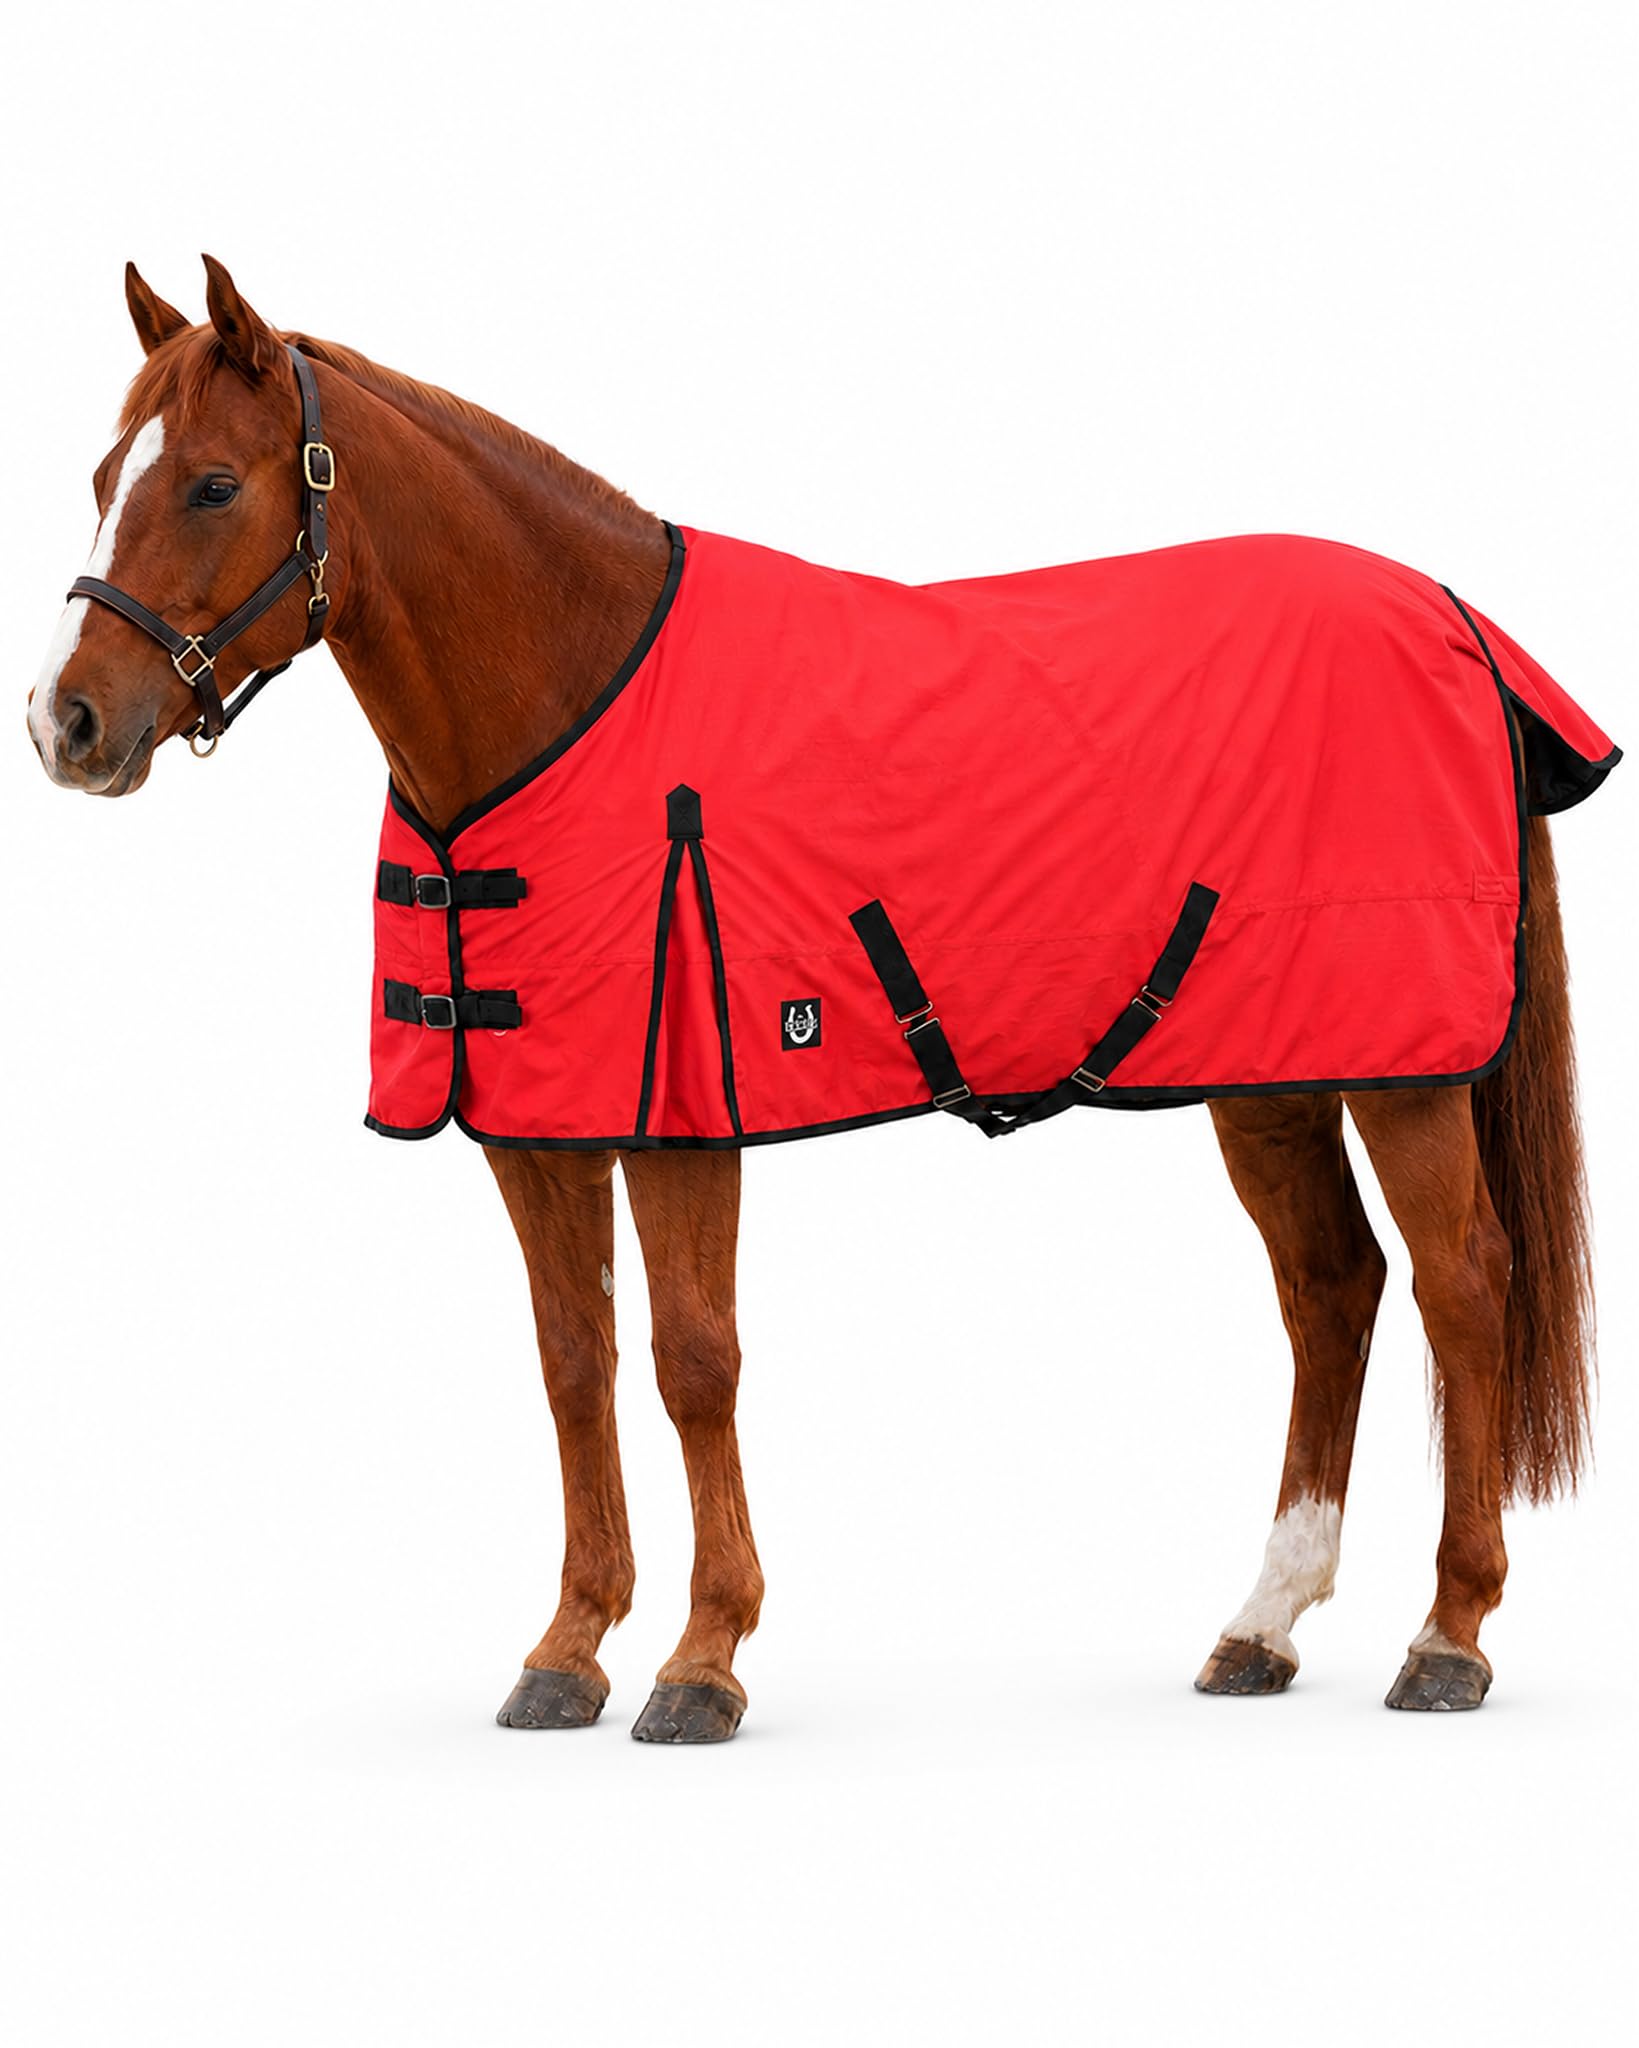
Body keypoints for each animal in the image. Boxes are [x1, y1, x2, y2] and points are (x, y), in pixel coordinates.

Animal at [26, 256, 1607, 1740]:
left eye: (214, 484)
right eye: (104, 480)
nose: (64, 724)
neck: (569, 692)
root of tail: (1452, 616)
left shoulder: (681, 1114)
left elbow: (692, 1362)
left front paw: (700, 1659)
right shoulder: (537, 1125)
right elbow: (572, 1365)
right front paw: (566, 1651)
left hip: (1402, 1070)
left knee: (1462, 1283)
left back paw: (1447, 1635)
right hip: (1267, 1069)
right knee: (1329, 1287)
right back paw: (1262, 1623)